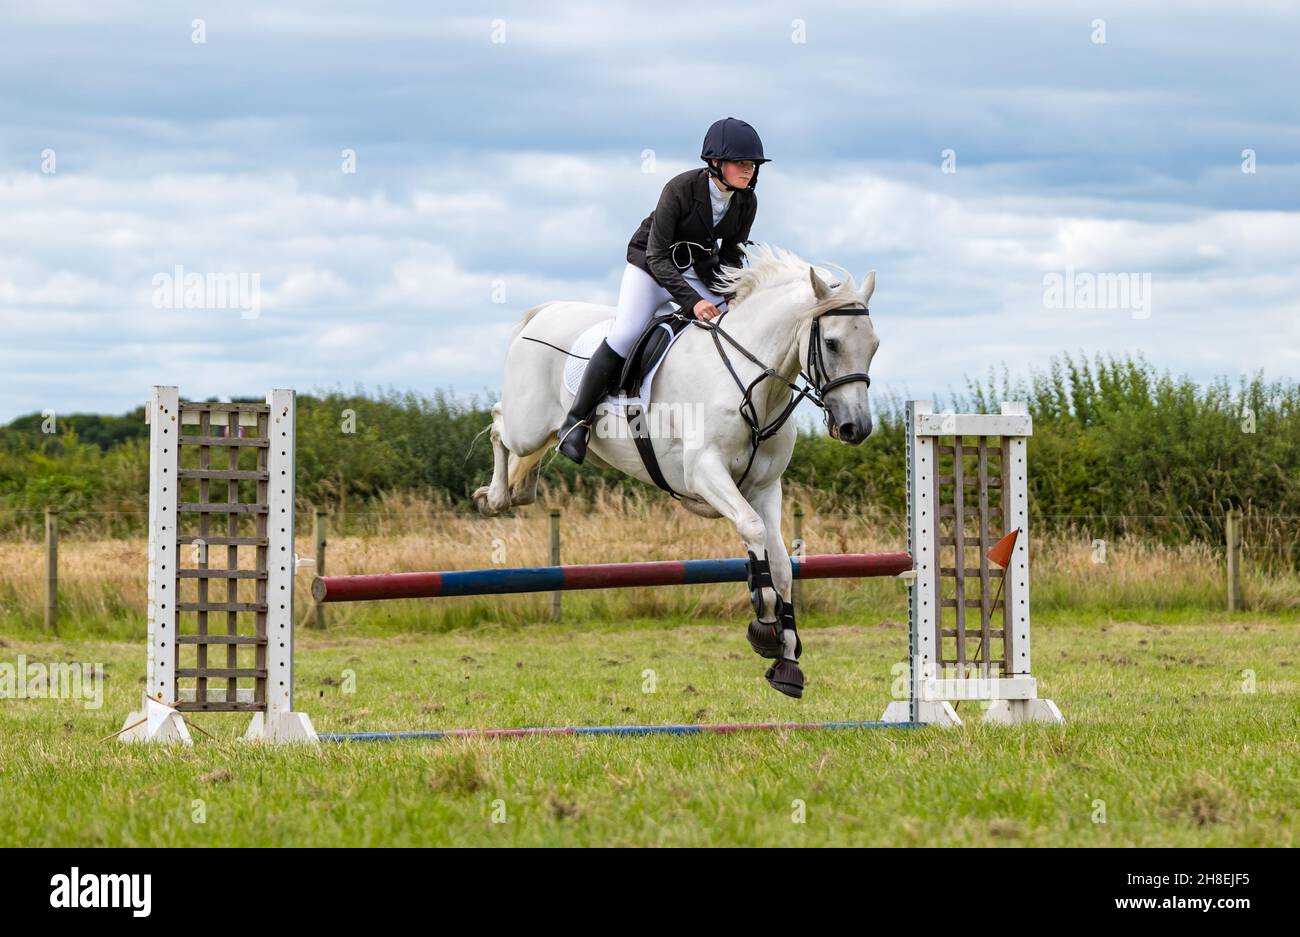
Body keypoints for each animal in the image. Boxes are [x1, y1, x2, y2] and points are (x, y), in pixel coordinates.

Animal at [473, 244, 878, 696]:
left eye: (874, 346)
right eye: (832, 343)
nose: (856, 428)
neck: (750, 381)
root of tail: (546, 310)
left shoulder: (764, 487)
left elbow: (778, 563)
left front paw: (787, 658)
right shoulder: (705, 474)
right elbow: (753, 532)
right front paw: (765, 625)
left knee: (521, 449)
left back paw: (520, 490)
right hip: (527, 424)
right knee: (499, 425)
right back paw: (493, 497)